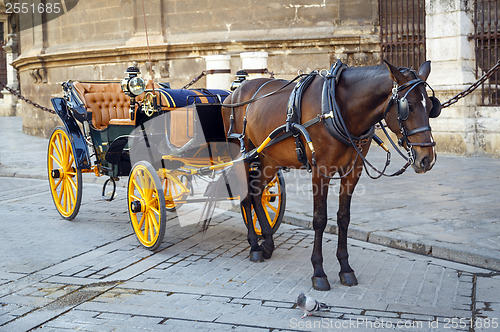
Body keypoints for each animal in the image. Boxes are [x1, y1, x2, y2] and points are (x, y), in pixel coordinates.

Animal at [223, 60, 438, 290]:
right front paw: (318, 271)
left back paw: (268, 244)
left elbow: (344, 218)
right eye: (408, 107)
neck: (338, 109)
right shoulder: (321, 171)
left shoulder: (353, 172)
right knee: (246, 195)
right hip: (243, 155)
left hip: (269, 158)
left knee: (257, 192)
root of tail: (234, 93)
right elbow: (320, 219)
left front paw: (345, 268)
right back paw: (255, 246)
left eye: (431, 106)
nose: (427, 159)